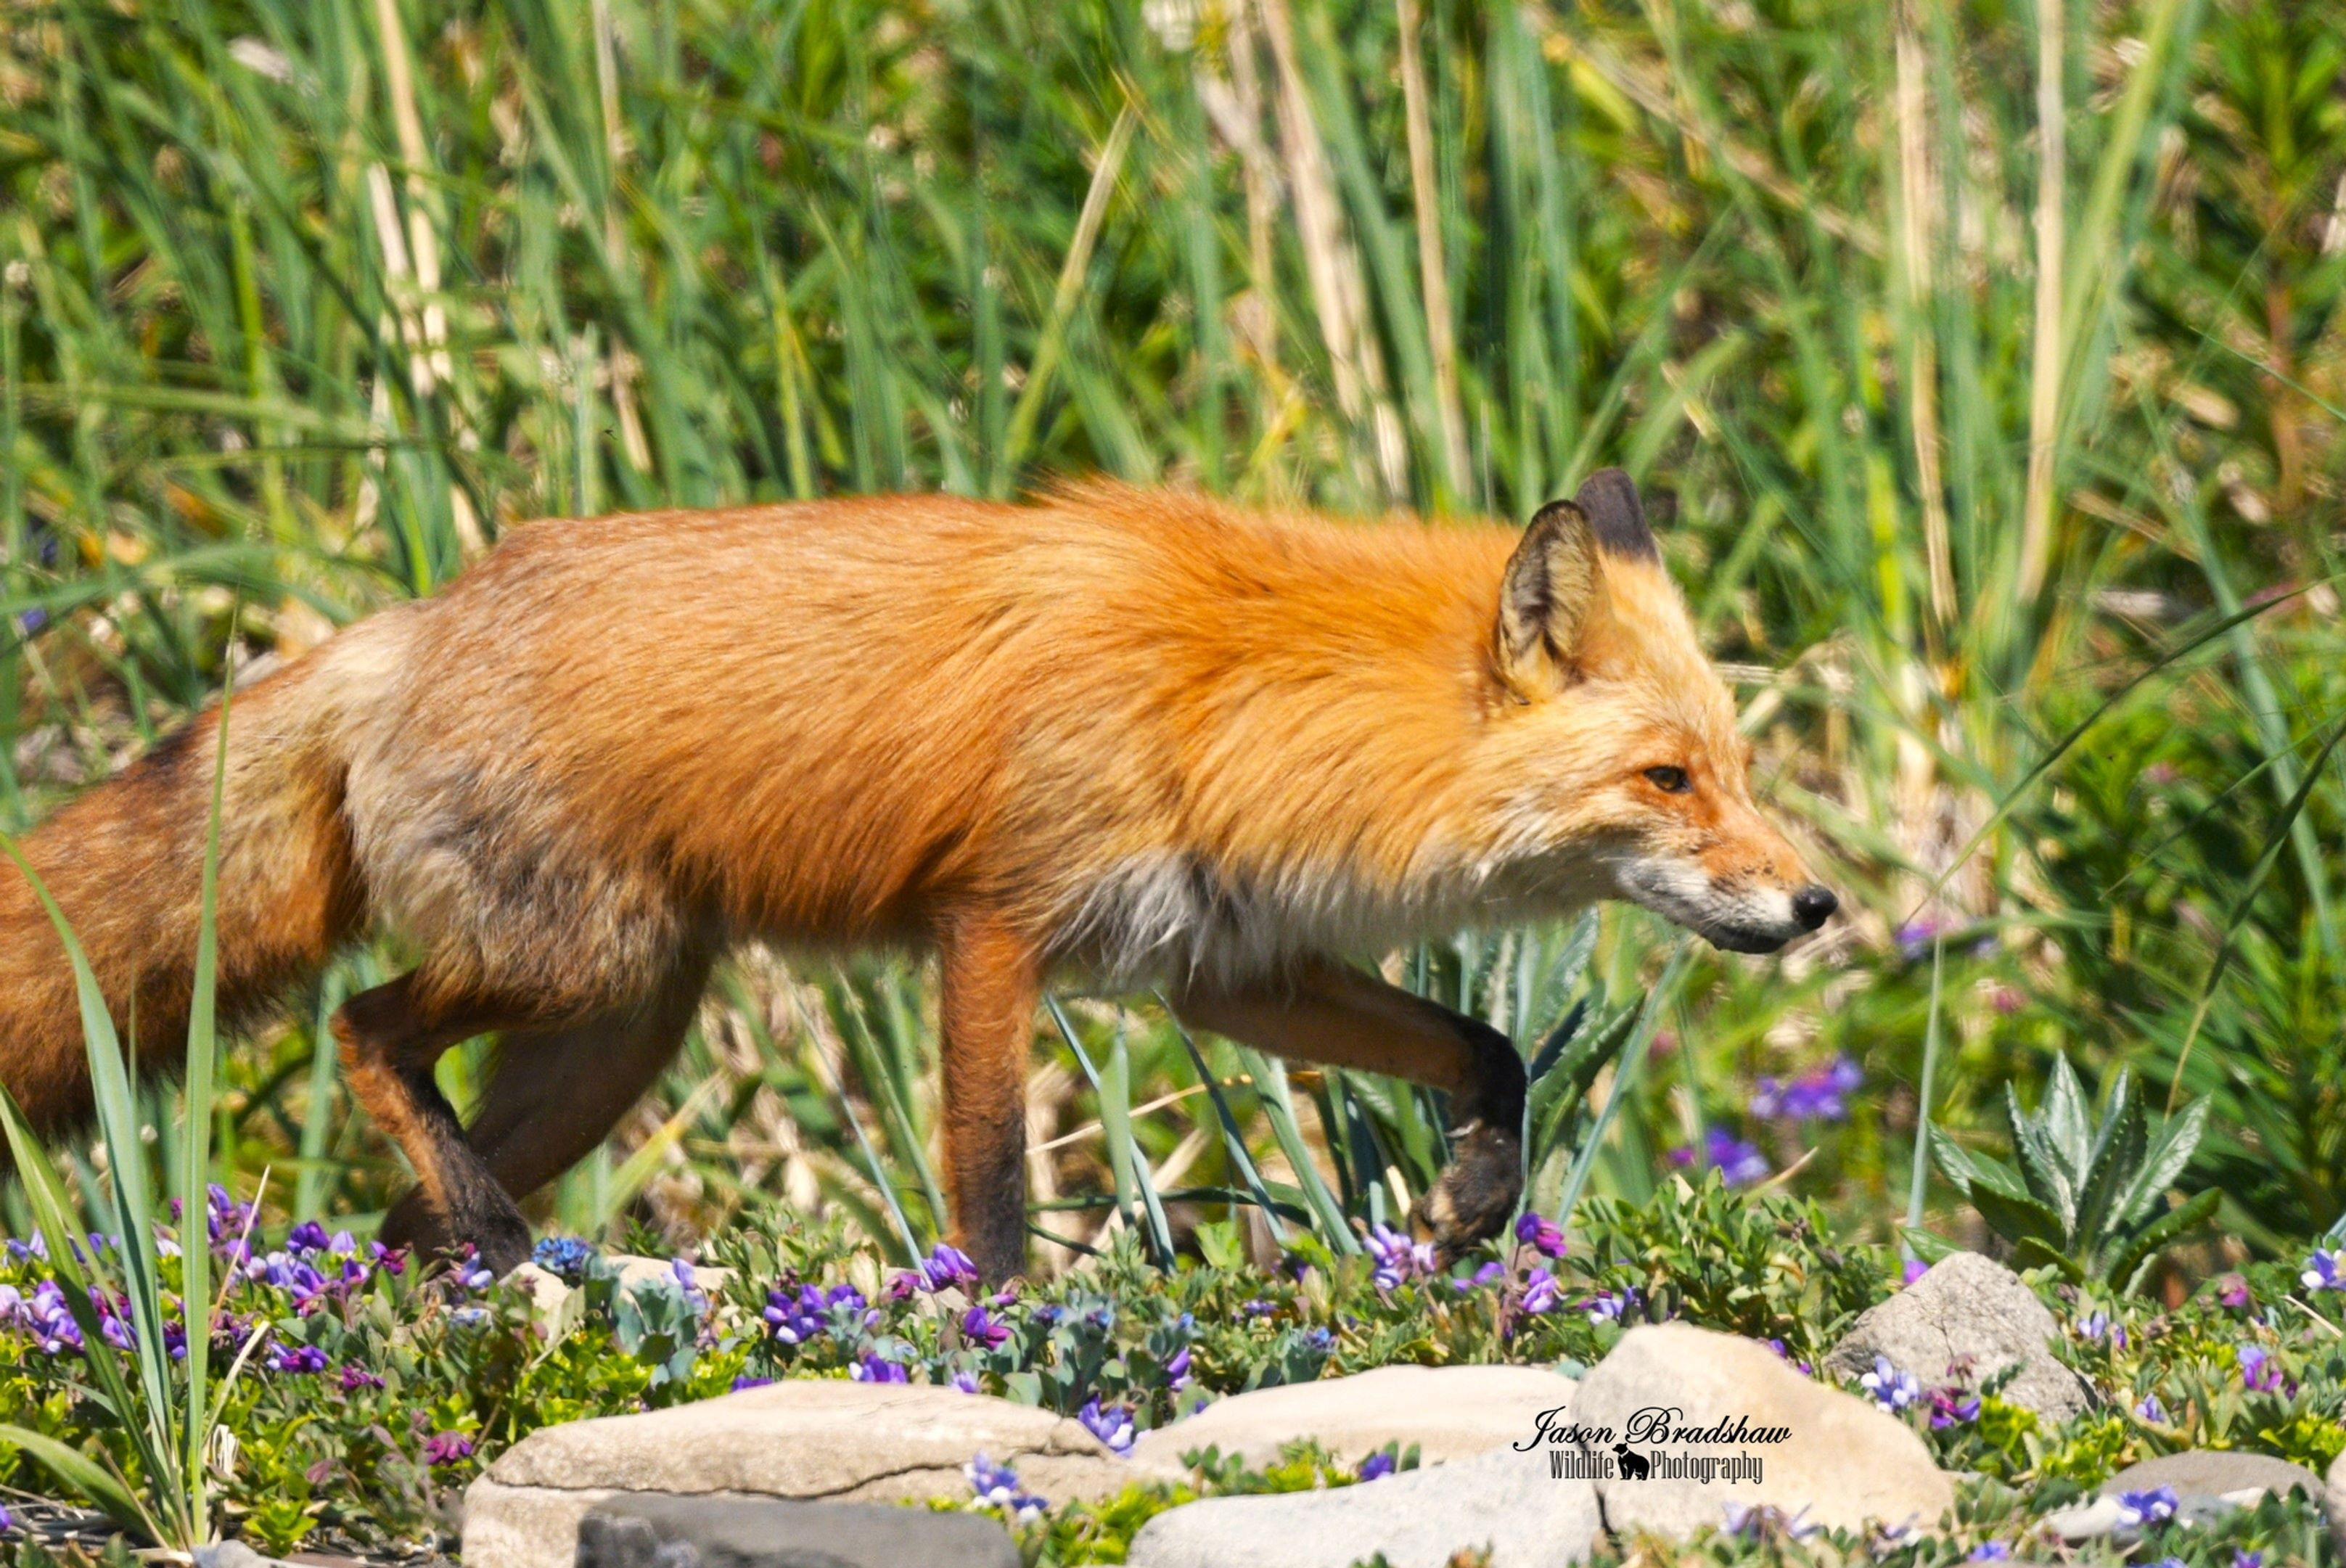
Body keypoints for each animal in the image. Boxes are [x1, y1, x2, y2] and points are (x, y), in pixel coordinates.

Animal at [0, 469, 1832, 1281]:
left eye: (1735, 771)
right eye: (1665, 780)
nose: (1815, 905)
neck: (1232, 692)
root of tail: (403, 623)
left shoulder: (1220, 962)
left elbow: (1490, 1048)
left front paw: (1468, 1201)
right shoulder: (995, 928)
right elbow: (993, 1189)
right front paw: (1007, 1345)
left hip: (611, 1037)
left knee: (393, 1188)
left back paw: (430, 1284)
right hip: (578, 969)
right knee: (364, 1031)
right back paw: (482, 1241)